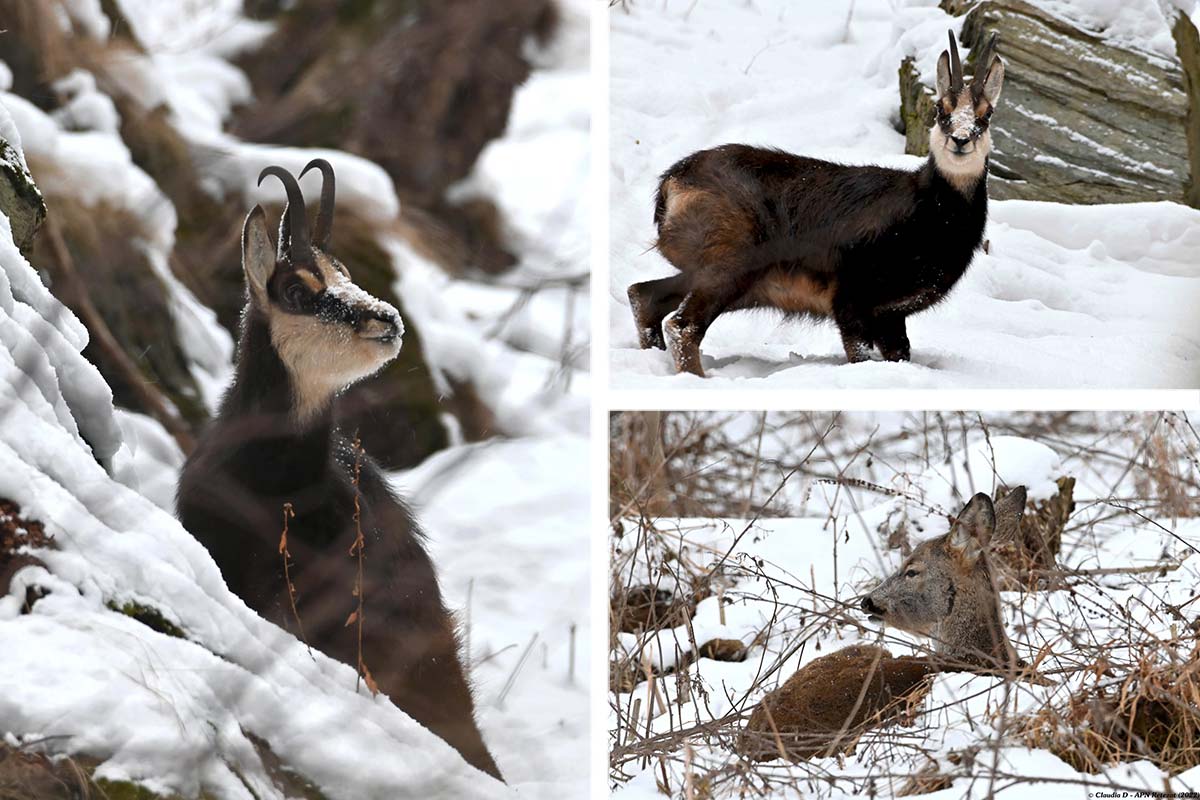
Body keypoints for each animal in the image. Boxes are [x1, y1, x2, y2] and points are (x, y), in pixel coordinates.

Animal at [628, 32, 1003, 376]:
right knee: (682, 325)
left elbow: (899, 354)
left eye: (986, 115)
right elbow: (859, 354)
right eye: (942, 110)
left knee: (644, 295)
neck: (929, 213)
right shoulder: (851, 298)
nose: (961, 140)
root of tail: (672, 183)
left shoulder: (890, 315)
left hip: (730, 277)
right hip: (733, 263)